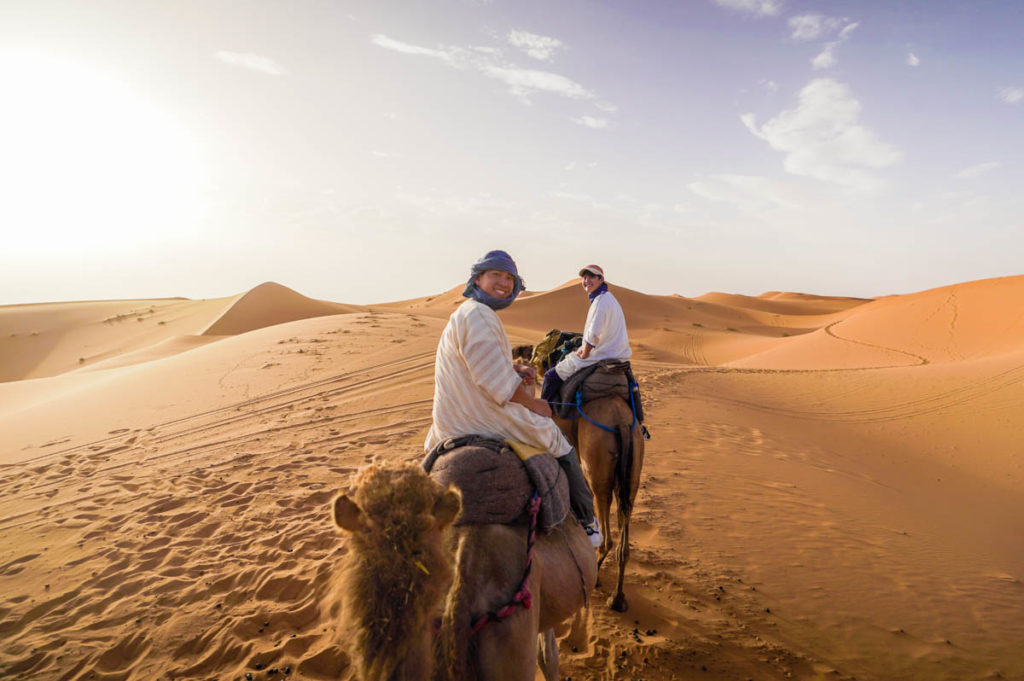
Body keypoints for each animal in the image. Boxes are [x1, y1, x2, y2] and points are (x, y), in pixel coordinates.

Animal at [557, 393, 643, 610]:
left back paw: (594, 578)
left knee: (606, 529)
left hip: (597, 464)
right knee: (623, 519)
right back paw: (617, 598)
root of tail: (621, 422)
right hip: (633, 470)